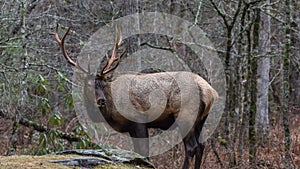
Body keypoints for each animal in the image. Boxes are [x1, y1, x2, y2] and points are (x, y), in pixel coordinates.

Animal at [54, 24, 218, 169]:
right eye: (88, 85)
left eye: (104, 84)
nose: (101, 101)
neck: (111, 110)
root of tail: (209, 91)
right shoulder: (131, 127)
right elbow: (137, 152)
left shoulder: (139, 119)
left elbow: (144, 152)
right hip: (201, 119)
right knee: (201, 145)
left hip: (185, 115)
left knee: (191, 147)